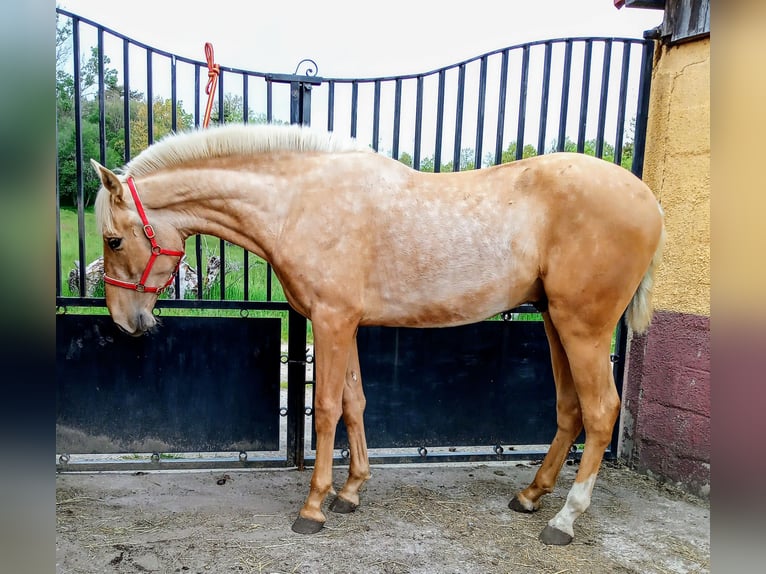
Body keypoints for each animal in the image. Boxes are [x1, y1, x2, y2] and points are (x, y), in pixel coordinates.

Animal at [91, 124, 664, 548]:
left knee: (600, 411)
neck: (298, 202)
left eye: (114, 239)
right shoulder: (343, 323)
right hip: (554, 322)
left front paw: (313, 506)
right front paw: (350, 492)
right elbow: (354, 402)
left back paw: (564, 519)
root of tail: (650, 201)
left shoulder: (331, 321)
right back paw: (531, 495)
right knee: (570, 409)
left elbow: (325, 409)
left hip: (583, 328)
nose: (123, 321)